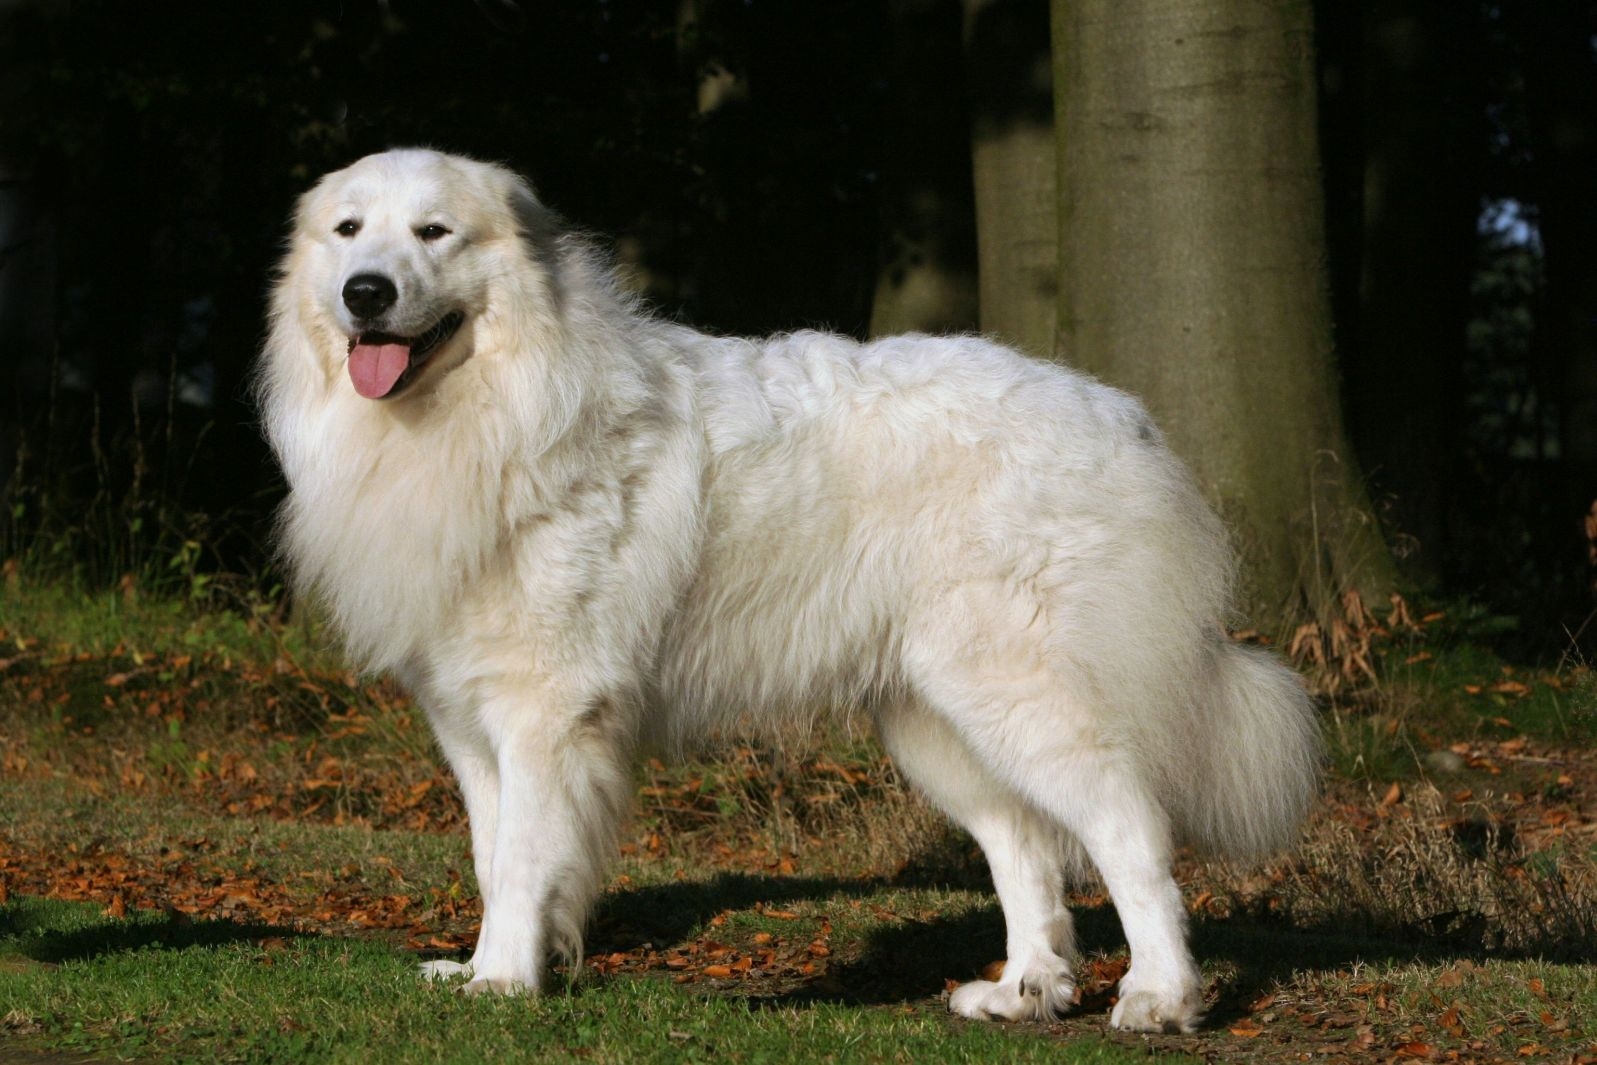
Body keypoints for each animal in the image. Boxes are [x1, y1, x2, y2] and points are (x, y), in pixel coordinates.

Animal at [255, 150, 1315, 1034]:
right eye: (349, 229)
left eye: (434, 232)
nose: (365, 292)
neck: (492, 406)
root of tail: (1122, 415)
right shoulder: (470, 722)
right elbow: (493, 852)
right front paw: (503, 964)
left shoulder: (545, 712)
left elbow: (520, 857)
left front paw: (506, 982)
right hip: (938, 722)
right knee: (1025, 847)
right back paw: (1022, 992)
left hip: (1020, 693)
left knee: (1129, 832)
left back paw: (1158, 997)